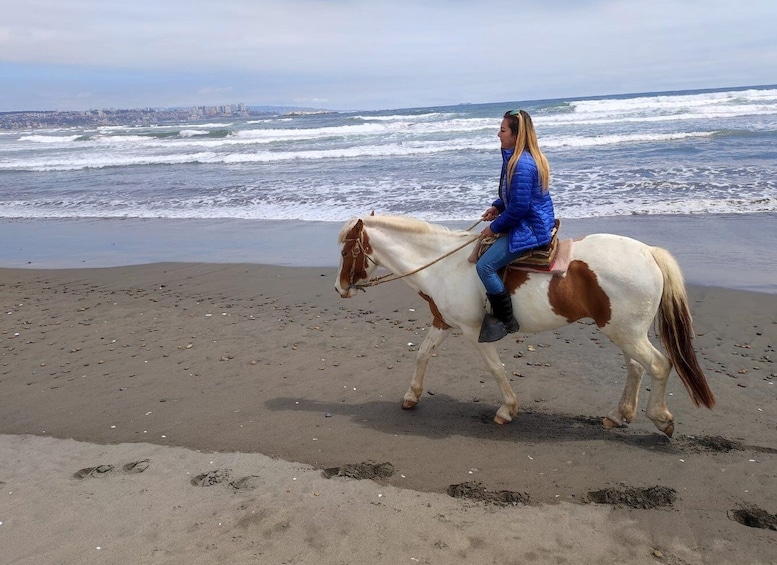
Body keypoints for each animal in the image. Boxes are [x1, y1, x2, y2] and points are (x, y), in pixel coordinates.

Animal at [334, 215, 716, 436]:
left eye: (345, 252)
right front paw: (412, 395)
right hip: (623, 330)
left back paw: (660, 417)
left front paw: (508, 409)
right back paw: (619, 415)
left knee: (658, 365)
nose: (339, 288)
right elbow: (423, 354)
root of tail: (649, 252)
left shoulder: (473, 330)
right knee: (636, 367)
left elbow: (495, 368)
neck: (444, 265)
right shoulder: (443, 322)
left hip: (625, 332)